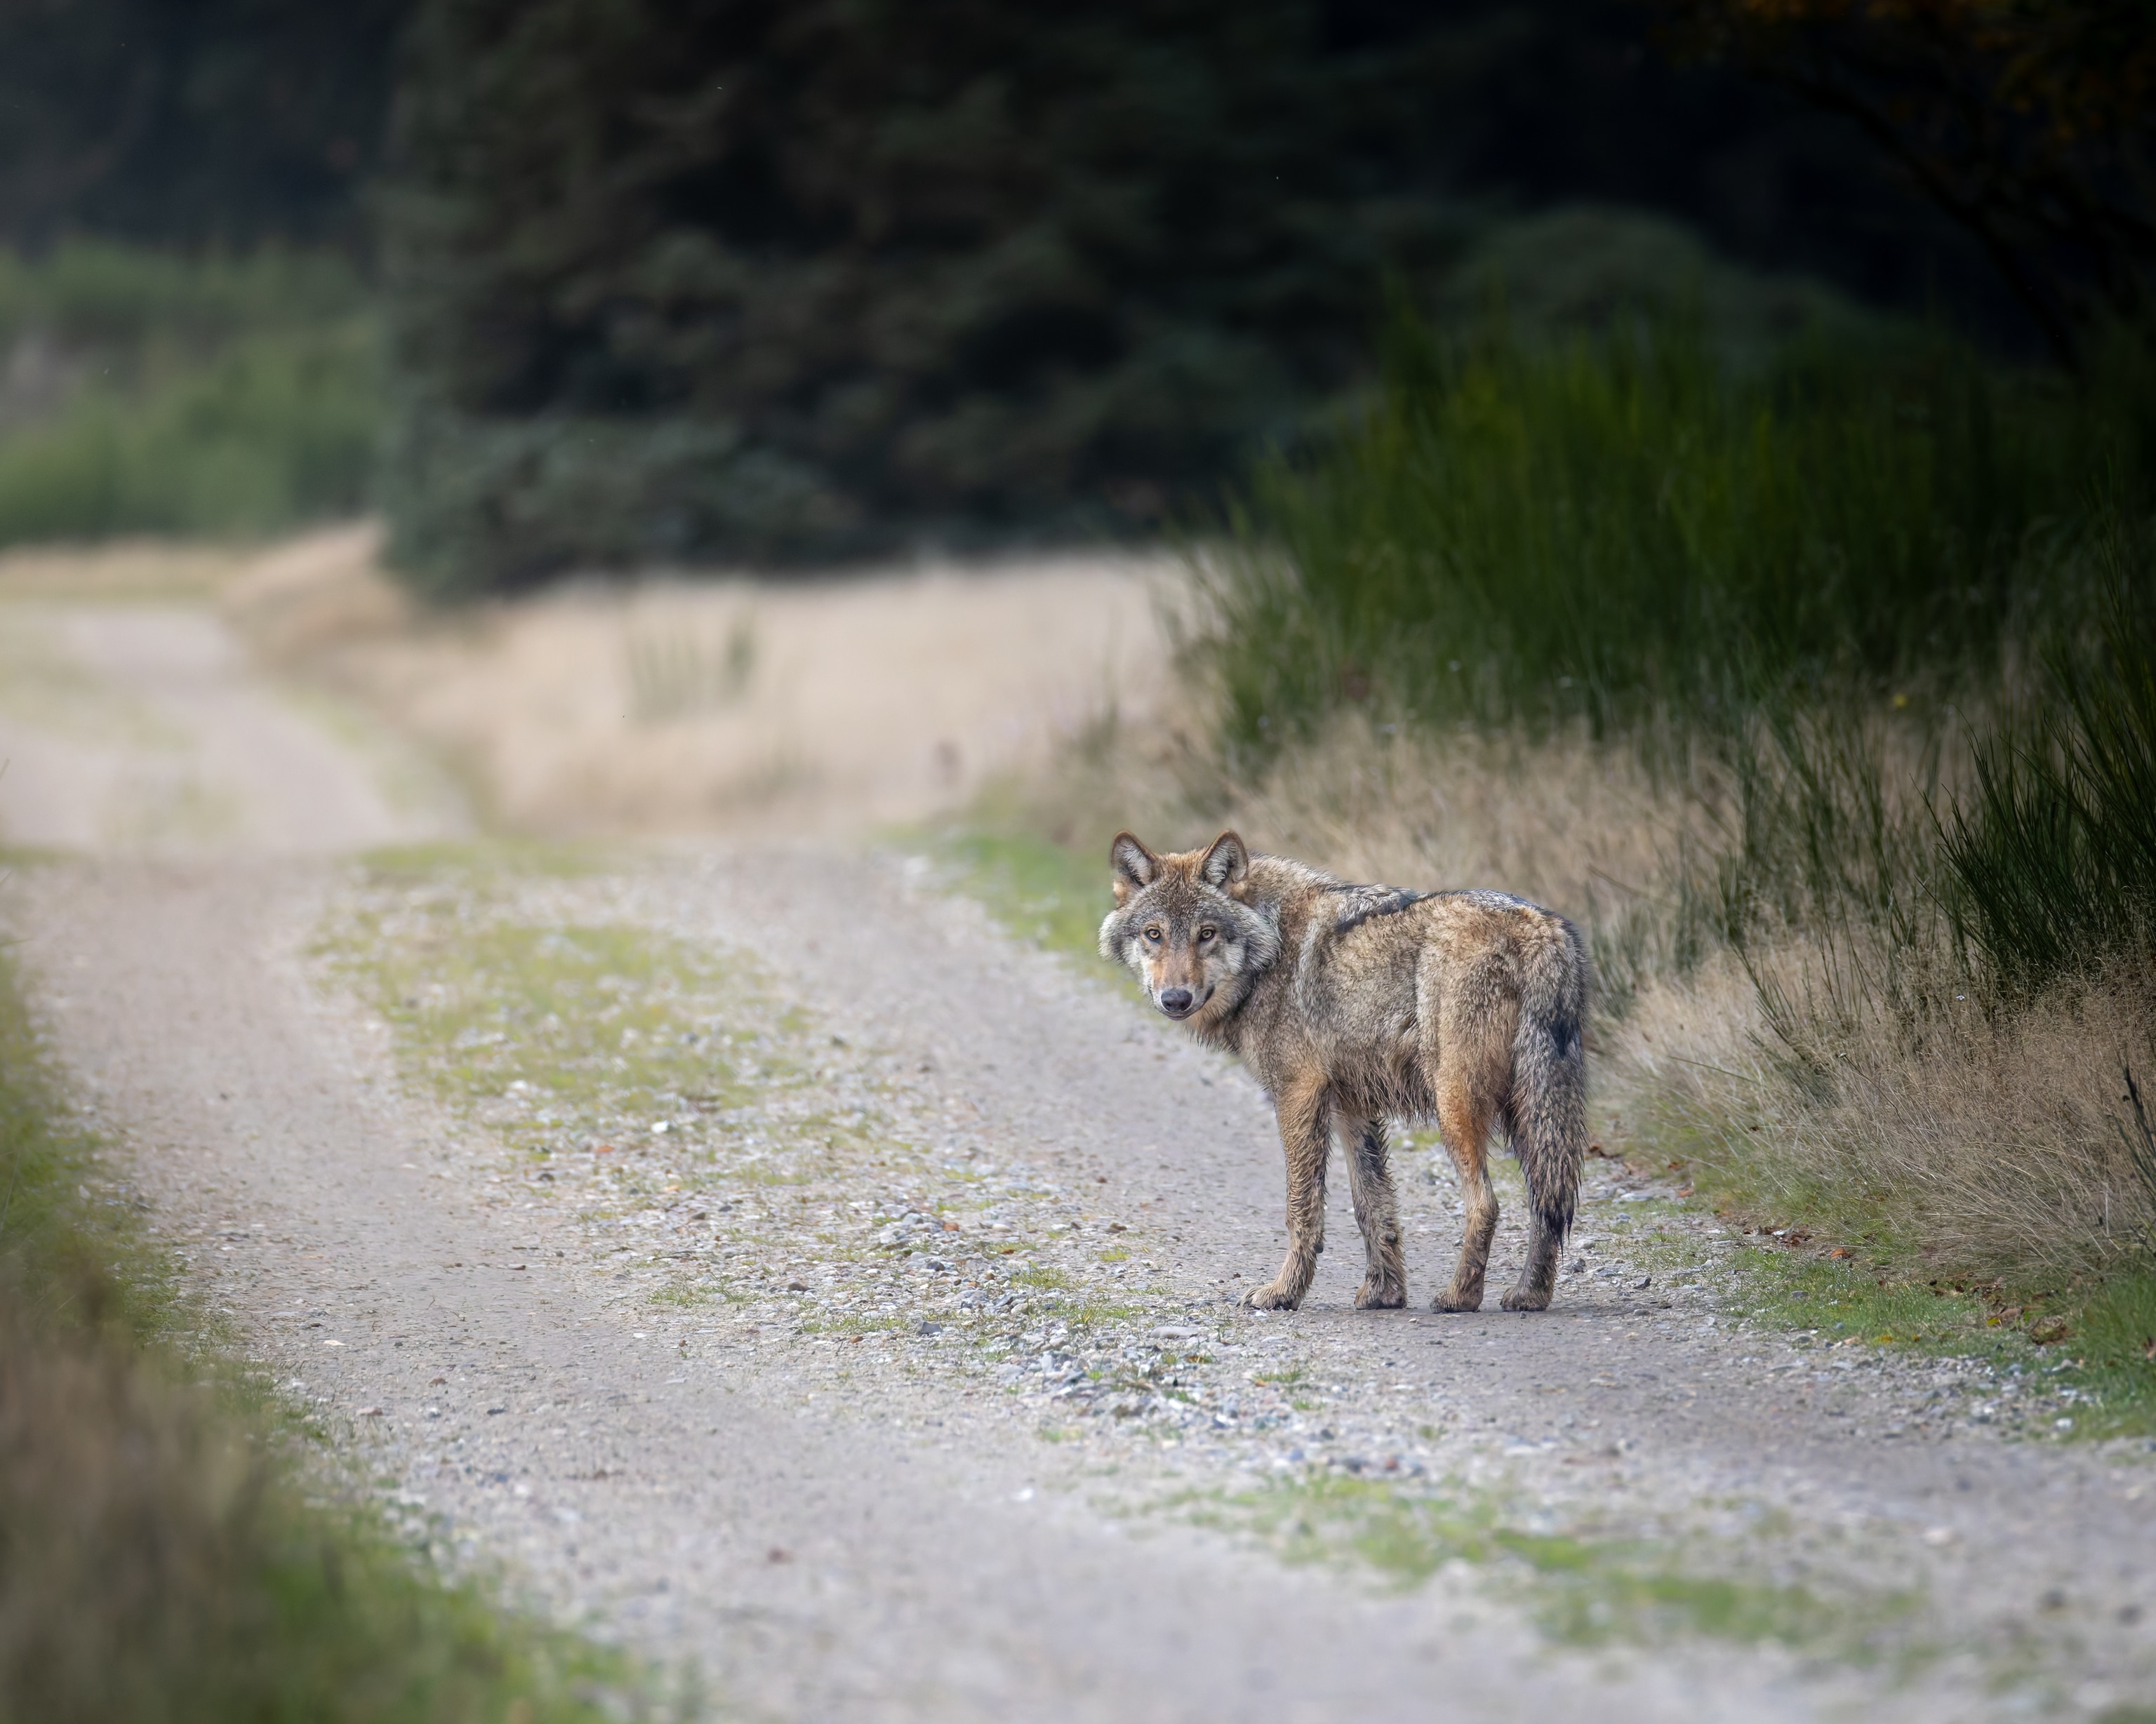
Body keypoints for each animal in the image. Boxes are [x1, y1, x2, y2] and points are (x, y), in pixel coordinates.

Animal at [1099, 830, 1589, 1313]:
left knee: (1487, 1203)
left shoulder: (1298, 1092)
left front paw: (1284, 1293)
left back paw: (1460, 1297)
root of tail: (1540, 928)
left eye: (1207, 934)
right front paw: (1384, 1294)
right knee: (1548, 1203)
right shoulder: (1352, 1105)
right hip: (1530, 1113)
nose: (1175, 999)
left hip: (1457, 1106)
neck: (1271, 946)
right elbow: (1371, 1205)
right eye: (1154, 934)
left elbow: (1302, 1207)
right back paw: (1530, 1295)